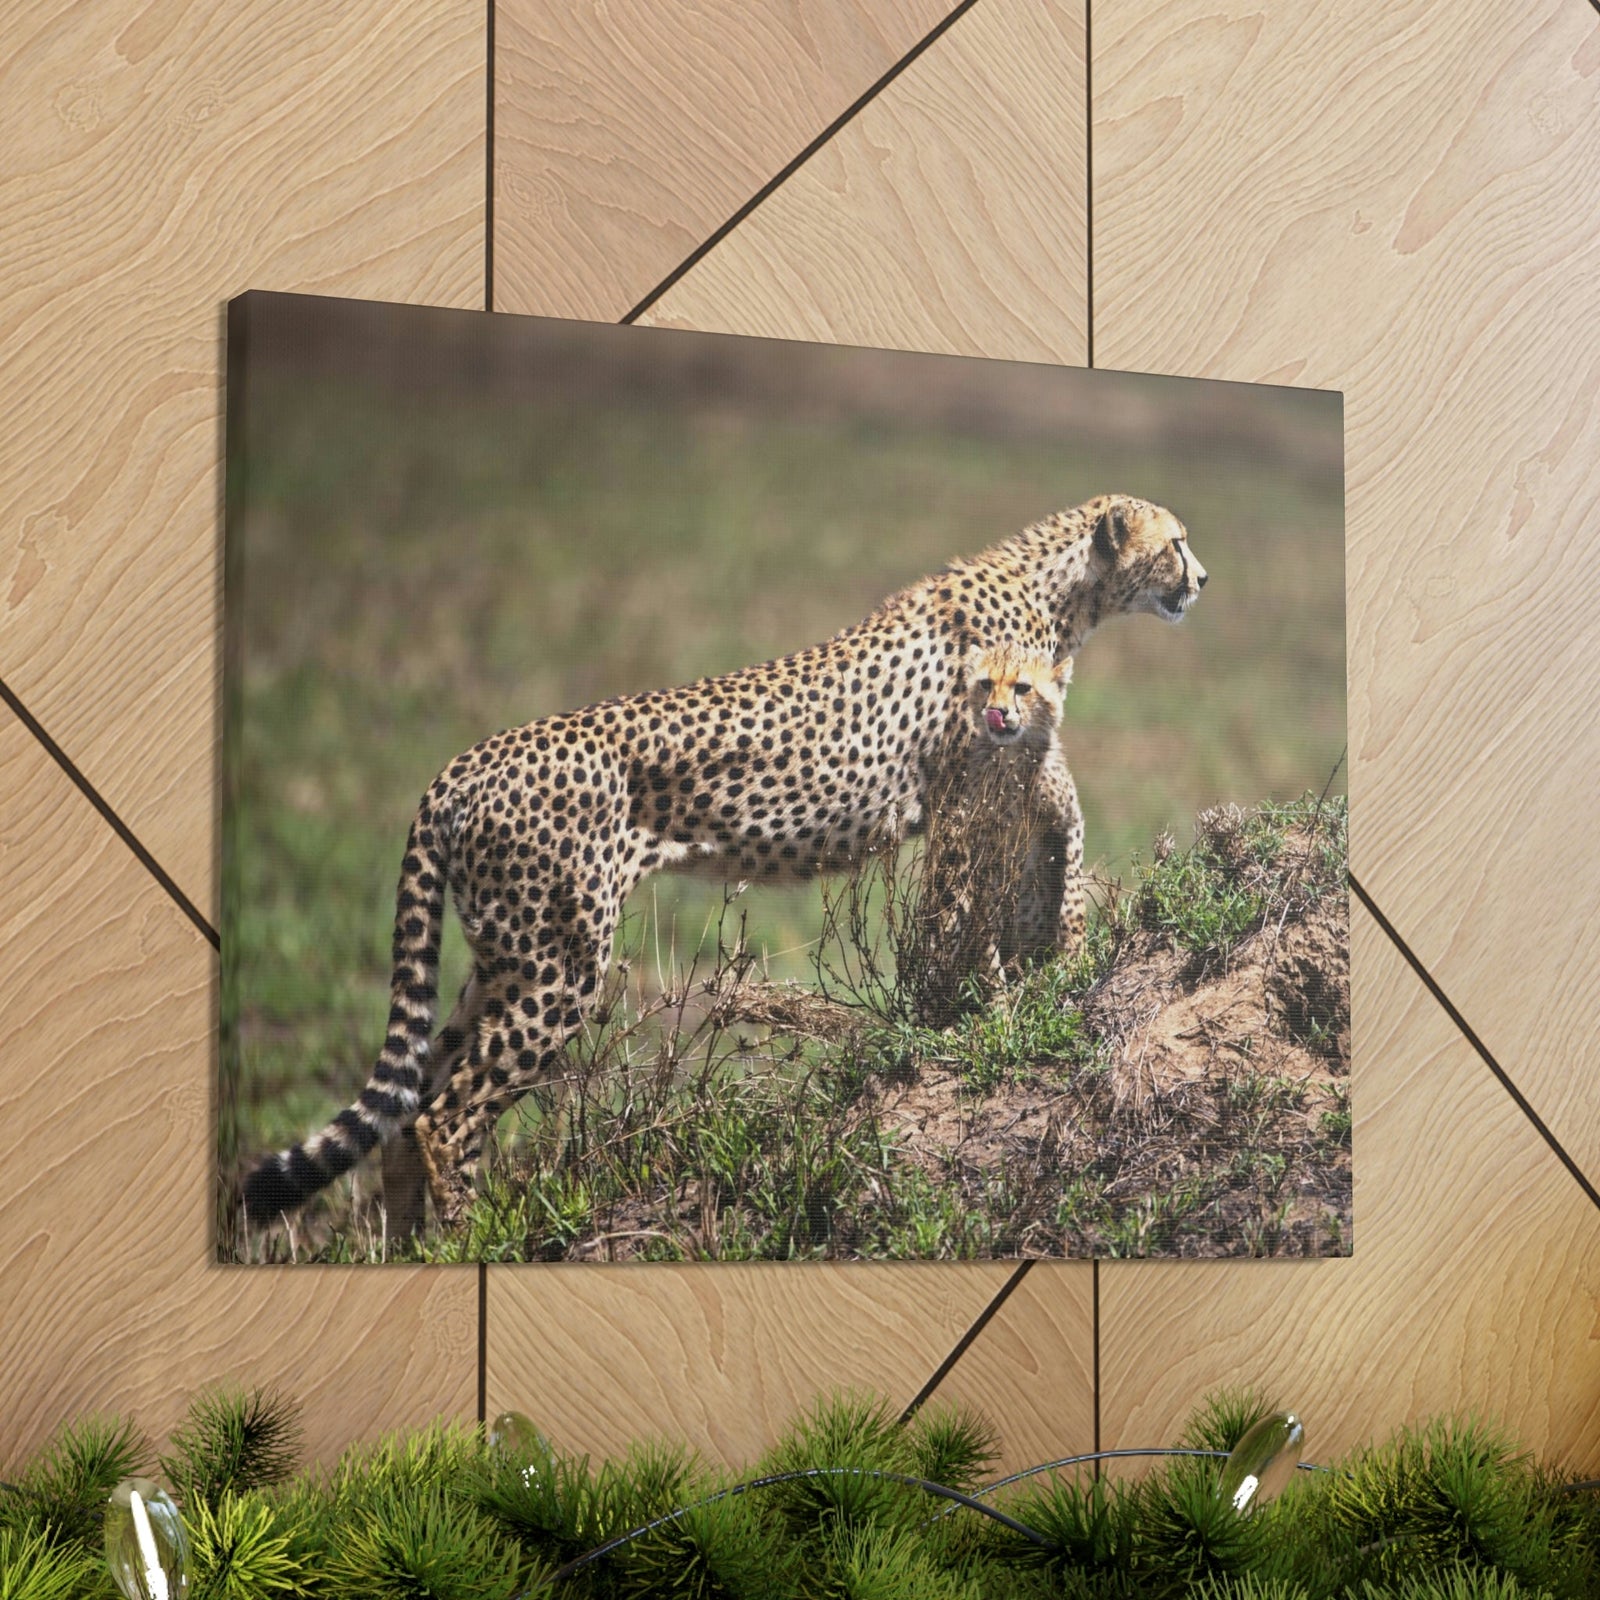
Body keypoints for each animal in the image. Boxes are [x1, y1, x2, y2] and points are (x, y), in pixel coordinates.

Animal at [241, 492, 1206, 1232]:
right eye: (1177, 540)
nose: (1202, 578)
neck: (1062, 591)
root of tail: (458, 766)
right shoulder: (969, 802)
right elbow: (966, 920)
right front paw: (977, 1017)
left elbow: (1043, 867)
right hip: (560, 965)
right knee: (448, 1113)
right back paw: (472, 1237)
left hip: (506, 957)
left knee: (412, 1106)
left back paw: (414, 1246)